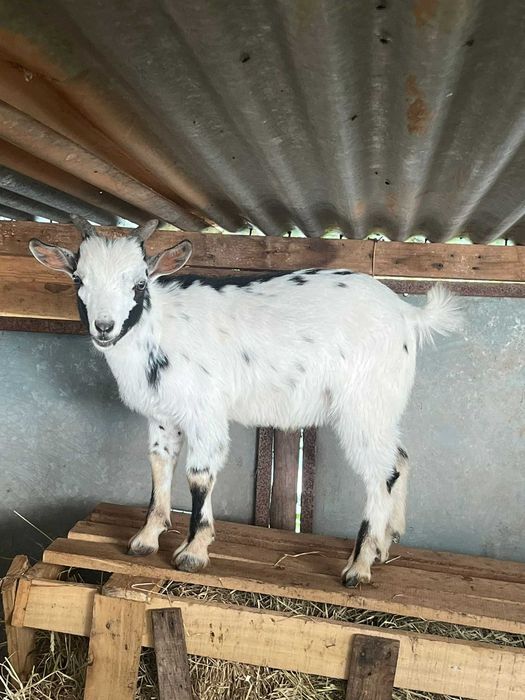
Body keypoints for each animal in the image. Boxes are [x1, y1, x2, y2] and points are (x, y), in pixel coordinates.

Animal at [29, 217, 462, 586]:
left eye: (139, 284)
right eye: (78, 279)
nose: (104, 327)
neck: (158, 328)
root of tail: (408, 315)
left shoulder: (204, 410)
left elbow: (199, 475)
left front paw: (193, 550)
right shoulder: (163, 414)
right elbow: (159, 464)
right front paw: (147, 537)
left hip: (363, 403)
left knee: (379, 474)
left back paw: (359, 566)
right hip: (382, 407)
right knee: (399, 460)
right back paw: (386, 544)